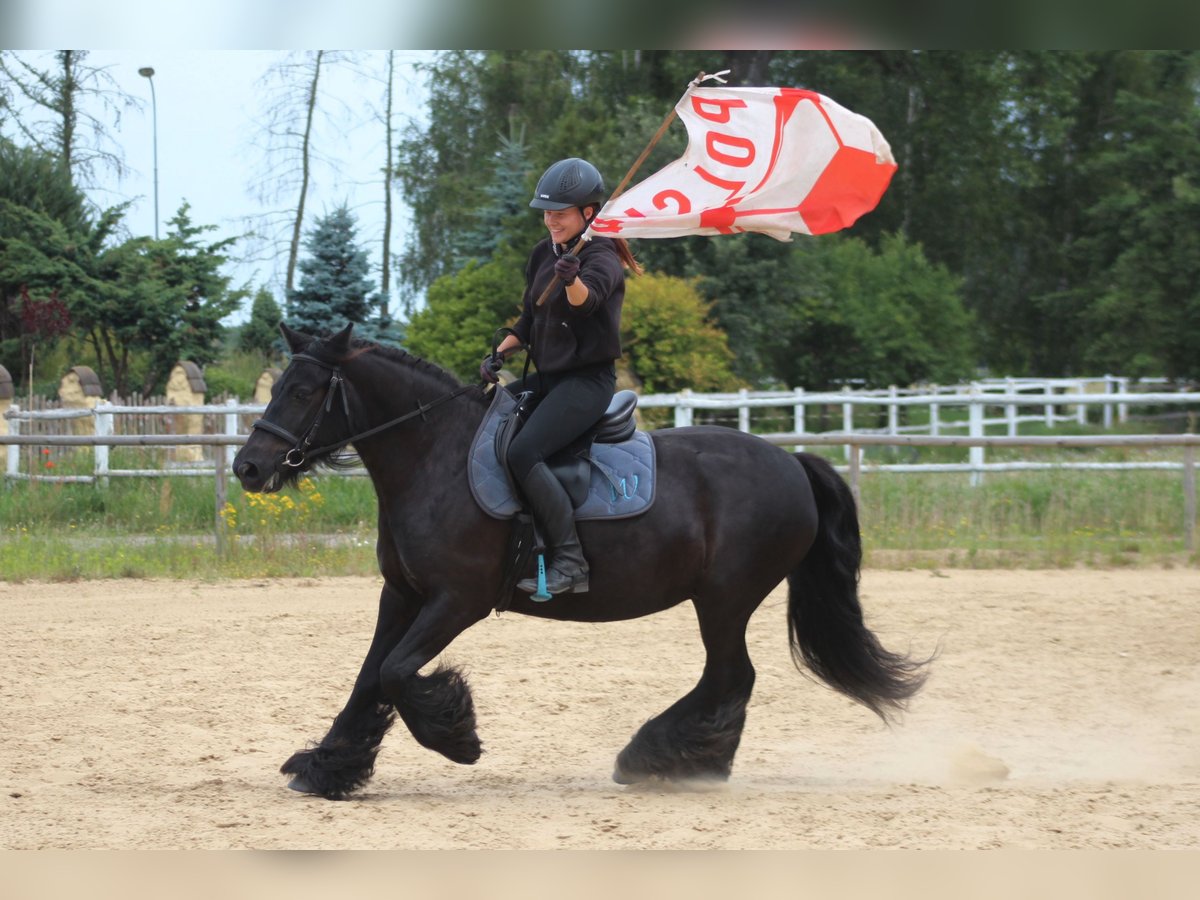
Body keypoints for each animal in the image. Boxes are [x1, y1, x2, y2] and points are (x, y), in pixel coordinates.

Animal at [231, 321, 926, 801]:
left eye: (303, 390)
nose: (249, 467)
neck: (435, 457)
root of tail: (792, 463)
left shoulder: (457, 601)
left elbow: (399, 673)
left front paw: (457, 737)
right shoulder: (401, 594)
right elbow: (370, 676)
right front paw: (326, 768)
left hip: (725, 598)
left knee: (733, 676)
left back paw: (663, 760)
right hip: (722, 600)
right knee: (731, 678)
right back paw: (685, 759)